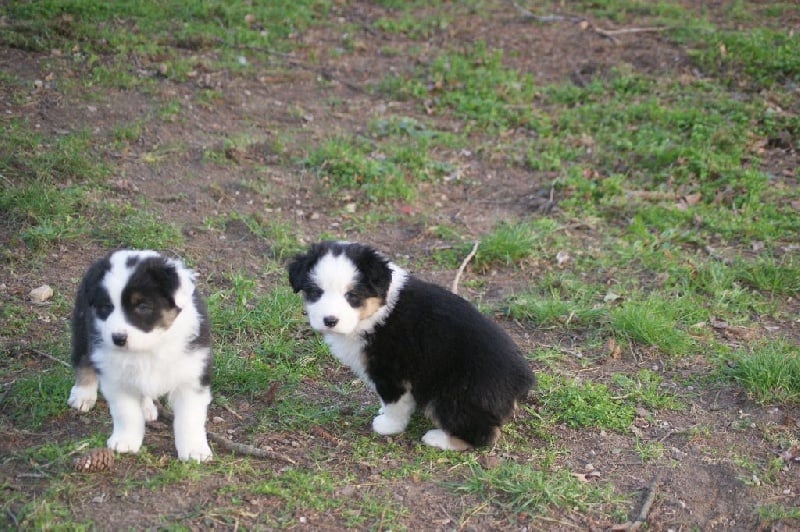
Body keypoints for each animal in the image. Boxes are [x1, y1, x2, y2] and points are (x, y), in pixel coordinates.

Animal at [67, 250, 213, 462]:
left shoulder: (192, 375)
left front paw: (195, 450)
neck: (149, 348)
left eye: (143, 306)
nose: (118, 338)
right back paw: (82, 395)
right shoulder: (116, 379)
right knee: (83, 360)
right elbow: (126, 412)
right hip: (82, 327)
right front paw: (125, 441)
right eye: (106, 307)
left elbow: (190, 417)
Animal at [288, 241, 534, 450]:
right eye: (316, 292)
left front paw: (388, 425)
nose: (329, 320)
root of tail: (521, 381)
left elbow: (394, 402)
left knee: (484, 435)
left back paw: (438, 439)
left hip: (451, 395)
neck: (377, 310)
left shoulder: (391, 371)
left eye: (352, 295)